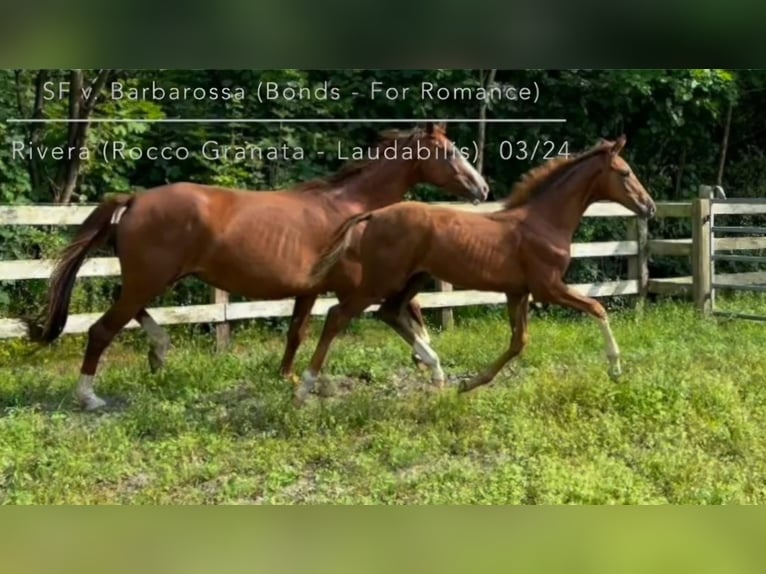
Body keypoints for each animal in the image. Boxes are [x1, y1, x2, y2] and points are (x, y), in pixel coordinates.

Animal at [28, 124, 492, 412]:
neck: (351, 211)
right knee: (101, 329)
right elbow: (398, 313)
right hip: (149, 279)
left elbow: (298, 332)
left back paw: (159, 352)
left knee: (131, 315)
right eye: (449, 152)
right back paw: (89, 398)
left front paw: (289, 377)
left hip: (151, 278)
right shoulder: (357, 285)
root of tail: (134, 200)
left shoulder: (313, 289)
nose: (482, 188)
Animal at [296, 136, 656, 404]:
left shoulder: (518, 292)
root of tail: (373, 215)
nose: (649, 206)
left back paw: (436, 369)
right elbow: (597, 307)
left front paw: (469, 384)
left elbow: (519, 342)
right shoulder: (549, 287)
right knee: (338, 316)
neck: (544, 222)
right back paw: (304, 388)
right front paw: (615, 369)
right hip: (381, 281)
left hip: (413, 278)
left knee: (389, 313)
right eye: (625, 173)